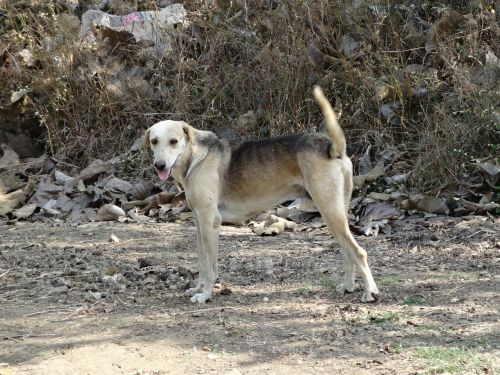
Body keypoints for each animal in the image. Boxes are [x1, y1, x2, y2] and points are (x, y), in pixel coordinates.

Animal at [144, 88, 378, 306]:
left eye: (174, 141)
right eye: (154, 141)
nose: (159, 166)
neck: (195, 157)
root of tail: (330, 146)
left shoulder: (210, 222)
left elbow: (210, 267)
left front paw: (206, 294)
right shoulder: (199, 223)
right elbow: (203, 262)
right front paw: (199, 288)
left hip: (329, 211)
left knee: (358, 252)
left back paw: (370, 292)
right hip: (337, 213)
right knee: (347, 252)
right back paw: (348, 286)